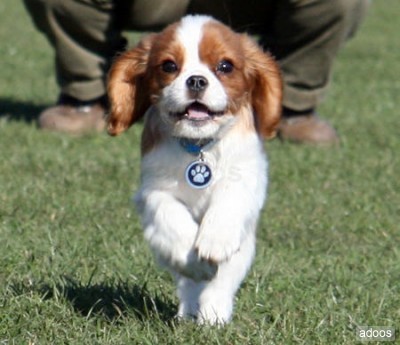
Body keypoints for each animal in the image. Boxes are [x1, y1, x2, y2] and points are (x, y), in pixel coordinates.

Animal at [106, 14, 282, 324]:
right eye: (169, 66)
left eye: (225, 66)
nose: (197, 80)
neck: (199, 146)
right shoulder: (152, 190)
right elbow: (169, 214)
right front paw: (194, 259)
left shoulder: (249, 175)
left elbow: (230, 199)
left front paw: (214, 239)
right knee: (190, 285)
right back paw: (190, 307)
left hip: (244, 249)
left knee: (221, 283)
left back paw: (213, 316)